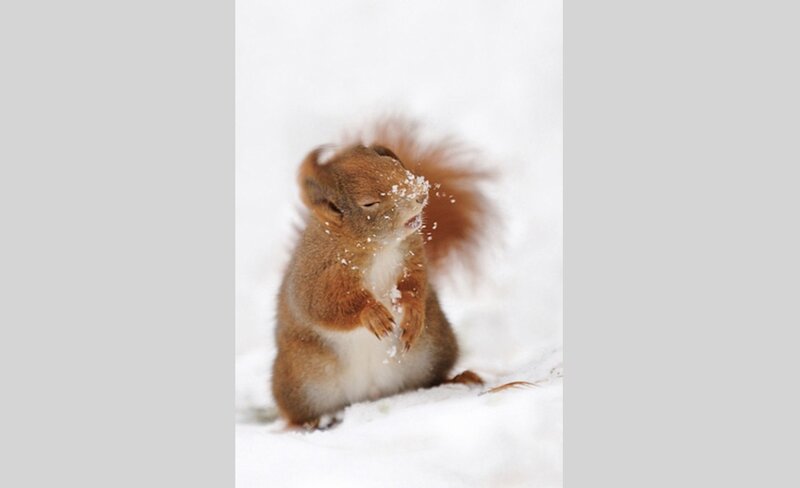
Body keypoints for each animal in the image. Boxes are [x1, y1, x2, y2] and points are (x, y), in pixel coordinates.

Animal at [271, 119, 492, 427]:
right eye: (368, 203)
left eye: (395, 165)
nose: (420, 193)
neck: (378, 247)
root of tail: (370, 394)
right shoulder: (316, 275)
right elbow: (324, 306)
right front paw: (371, 313)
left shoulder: (412, 253)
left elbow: (416, 282)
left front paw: (411, 310)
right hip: (301, 380)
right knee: (296, 412)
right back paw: (302, 425)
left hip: (434, 348)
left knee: (429, 380)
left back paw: (458, 378)